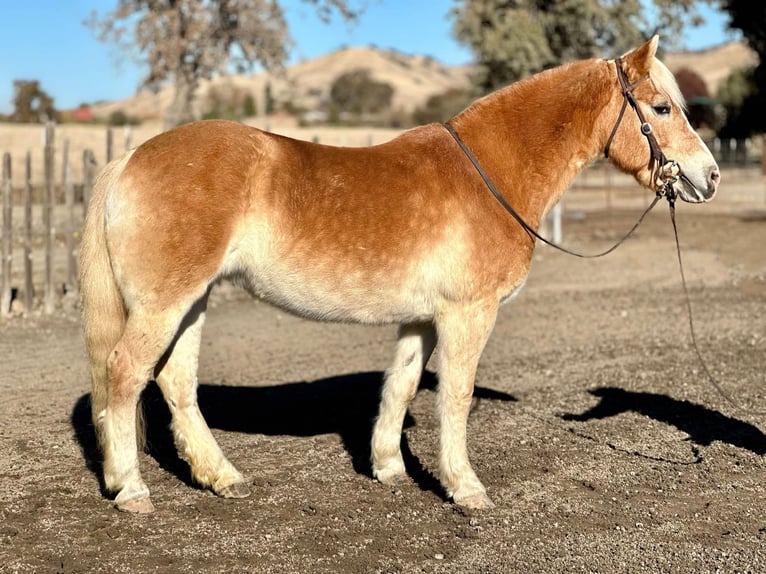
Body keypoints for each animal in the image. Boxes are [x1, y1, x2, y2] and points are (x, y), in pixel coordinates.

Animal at [78, 33, 720, 516]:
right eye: (662, 108)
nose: (708, 176)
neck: (489, 172)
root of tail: (131, 158)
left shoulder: (422, 320)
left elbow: (402, 385)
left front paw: (388, 469)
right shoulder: (467, 314)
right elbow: (456, 397)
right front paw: (466, 489)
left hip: (191, 301)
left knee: (175, 383)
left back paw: (221, 477)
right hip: (164, 303)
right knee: (126, 373)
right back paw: (131, 489)